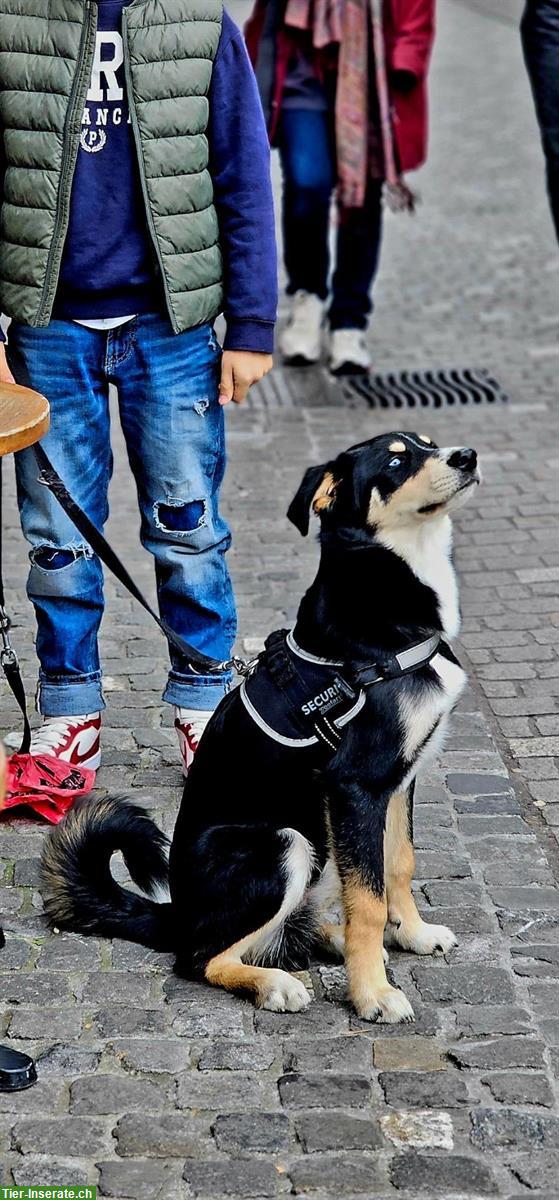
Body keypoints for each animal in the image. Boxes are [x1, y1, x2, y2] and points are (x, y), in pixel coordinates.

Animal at [42, 432, 479, 1022]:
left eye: (428, 444)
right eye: (395, 459)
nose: (468, 457)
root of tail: (176, 911)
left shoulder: (397, 781)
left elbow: (397, 865)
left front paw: (412, 933)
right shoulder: (355, 785)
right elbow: (367, 900)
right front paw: (373, 993)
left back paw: (330, 940)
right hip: (283, 844)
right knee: (198, 956)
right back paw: (275, 983)